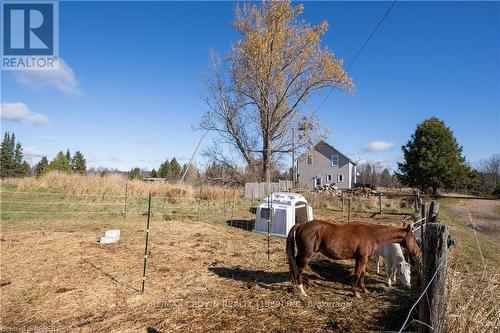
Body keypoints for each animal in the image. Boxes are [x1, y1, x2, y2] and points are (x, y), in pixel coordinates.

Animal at [286, 219, 422, 296]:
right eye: (413, 238)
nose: (418, 252)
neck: (371, 234)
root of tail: (301, 225)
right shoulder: (361, 259)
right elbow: (356, 274)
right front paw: (356, 293)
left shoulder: (363, 259)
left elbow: (362, 274)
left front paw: (364, 290)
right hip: (305, 255)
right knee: (298, 270)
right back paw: (301, 290)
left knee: (294, 267)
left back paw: (293, 286)